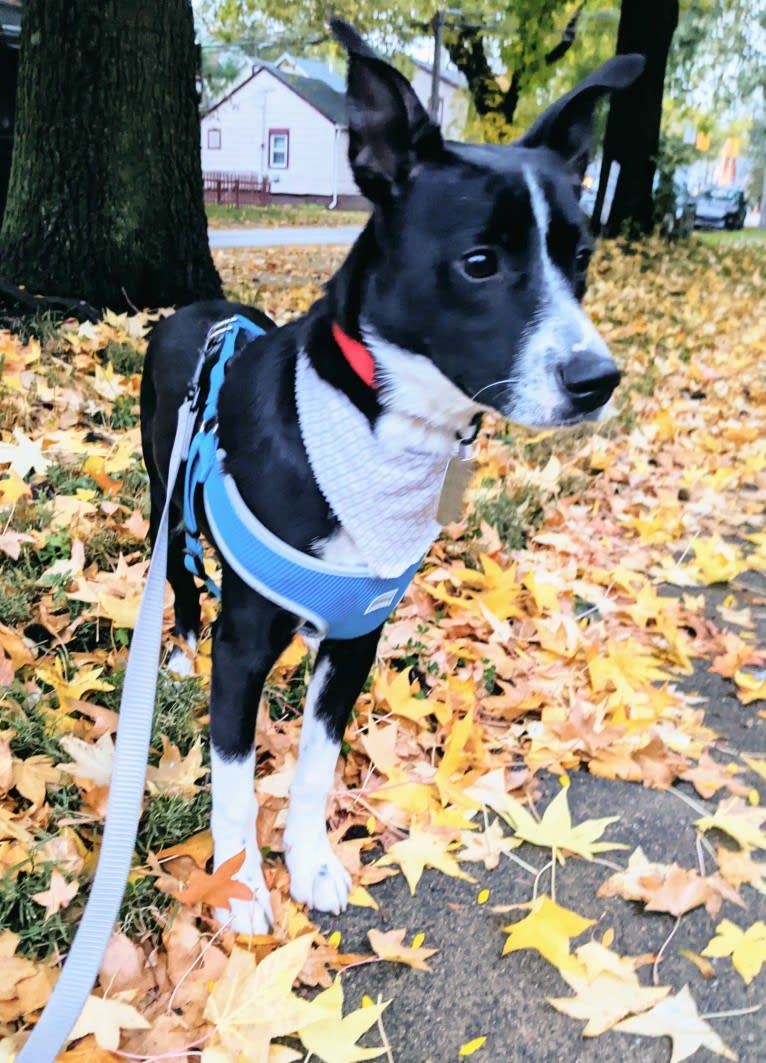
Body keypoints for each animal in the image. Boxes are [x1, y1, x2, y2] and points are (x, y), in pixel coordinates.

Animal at [140, 18, 641, 931]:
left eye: (582, 257)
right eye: (479, 262)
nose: (597, 380)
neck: (379, 427)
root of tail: (198, 310)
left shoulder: (356, 638)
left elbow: (313, 766)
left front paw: (309, 862)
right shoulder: (245, 645)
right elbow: (232, 783)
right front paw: (241, 889)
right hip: (163, 485)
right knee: (183, 574)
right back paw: (181, 649)